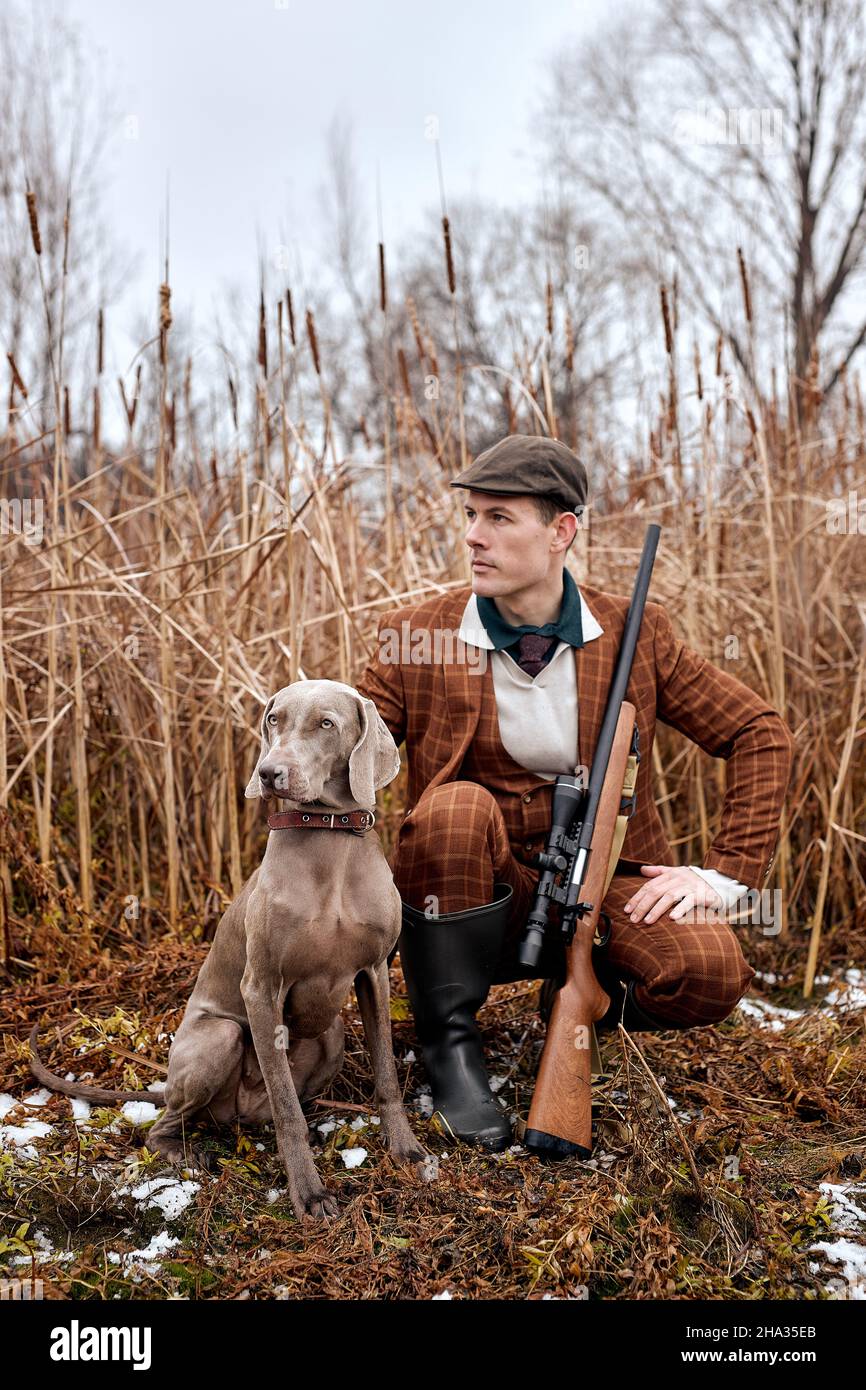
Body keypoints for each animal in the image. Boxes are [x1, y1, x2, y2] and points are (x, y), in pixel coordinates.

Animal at [31, 678, 436, 1223]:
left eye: (326, 723)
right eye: (273, 719)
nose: (269, 773)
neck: (328, 841)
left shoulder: (374, 972)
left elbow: (387, 1077)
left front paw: (407, 1151)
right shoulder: (261, 988)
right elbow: (287, 1110)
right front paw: (309, 1193)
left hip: (331, 1036)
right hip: (217, 1037)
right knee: (168, 1124)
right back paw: (189, 1153)